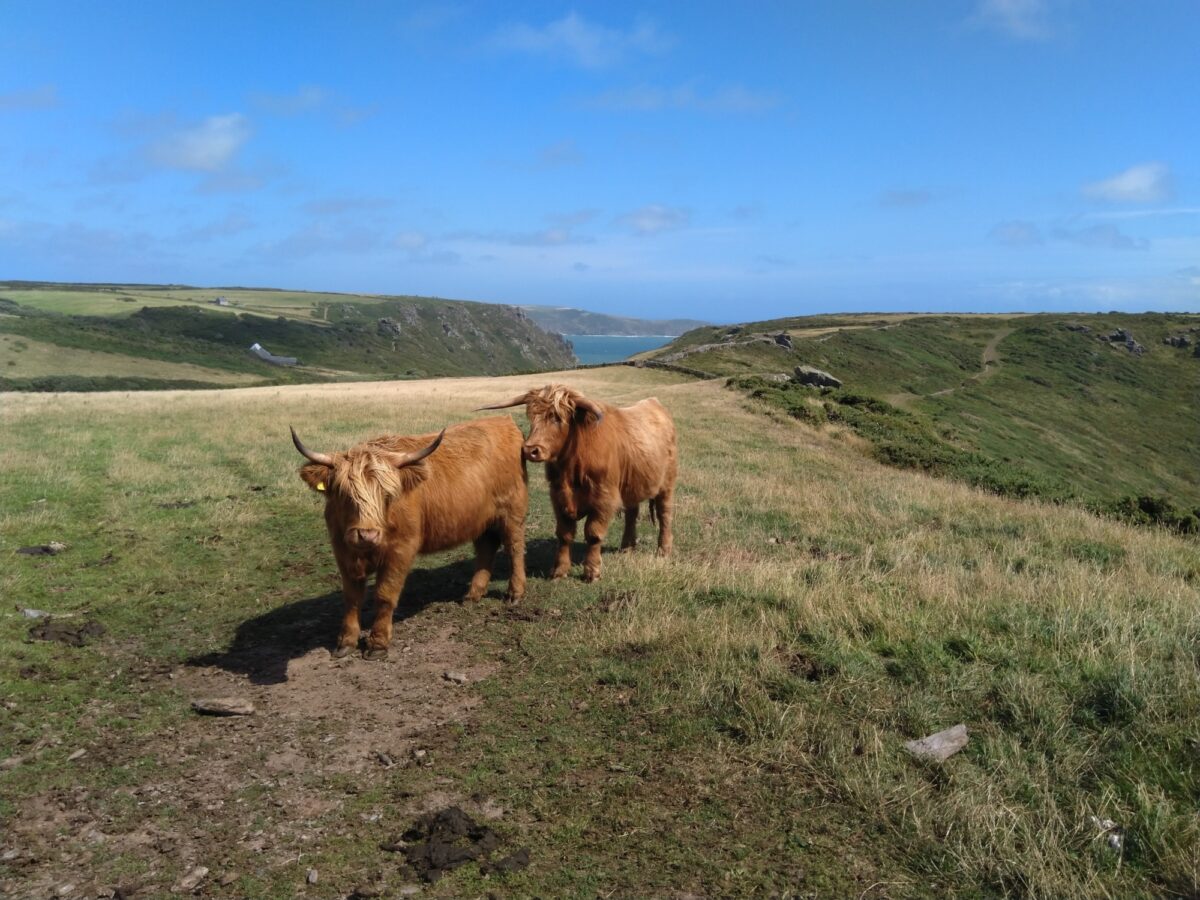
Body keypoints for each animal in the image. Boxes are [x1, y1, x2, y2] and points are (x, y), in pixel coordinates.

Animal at [291, 417, 525, 662]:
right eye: (345, 494)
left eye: (387, 495)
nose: (367, 534)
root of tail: (503, 421)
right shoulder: (343, 551)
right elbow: (352, 597)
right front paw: (346, 641)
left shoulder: (400, 550)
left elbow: (385, 595)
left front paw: (378, 643)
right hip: (480, 520)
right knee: (485, 549)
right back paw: (473, 594)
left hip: (512, 511)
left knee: (514, 548)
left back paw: (515, 593)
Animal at [477, 386, 676, 585]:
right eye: (531, 416)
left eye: (557, 418)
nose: (530, 450)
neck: (571, 468)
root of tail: (655, 404)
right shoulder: (558, 496)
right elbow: (564, 534)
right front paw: (559, 571)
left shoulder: (604, 498)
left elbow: (594, 534)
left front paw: (592, 572)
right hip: (631, 487)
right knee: (632, 514)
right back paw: (627, 548)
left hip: (667, 485)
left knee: (664, 514)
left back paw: (664, 550)